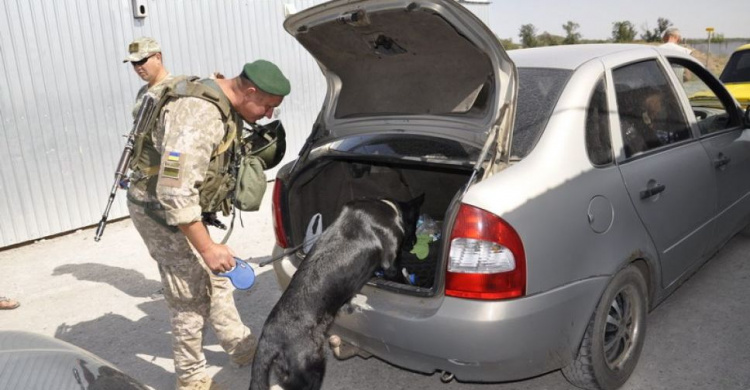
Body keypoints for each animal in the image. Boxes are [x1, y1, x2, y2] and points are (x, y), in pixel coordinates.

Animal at [251, 195, 424, 390]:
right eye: (415, 221)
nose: (414, 243)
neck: (389, 208)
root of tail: (268, 340)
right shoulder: (391, 265)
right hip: (312, 368)